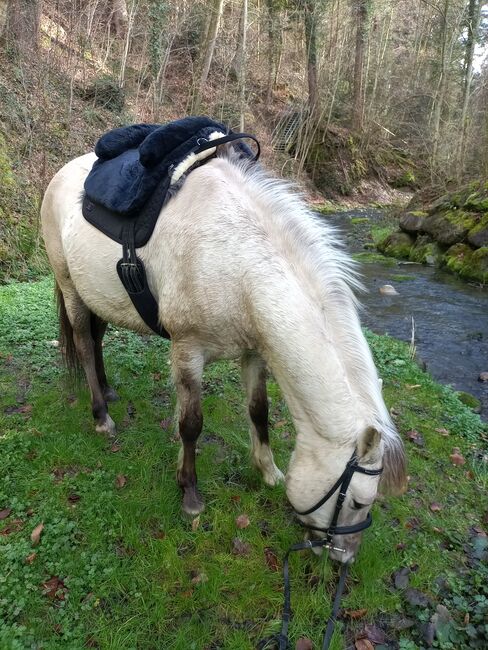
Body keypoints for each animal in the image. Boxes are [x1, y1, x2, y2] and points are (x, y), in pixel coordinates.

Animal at [40, 144, 406, 560]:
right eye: (358, 502)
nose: (344, 557)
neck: (239, 262)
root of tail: (61, 174)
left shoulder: (254, 353)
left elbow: (258, 411)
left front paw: (268, 471)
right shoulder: (187, 351)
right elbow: (191, 425)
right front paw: (190, 494)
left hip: (99, 295)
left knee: (98, 338)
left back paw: (107, 389)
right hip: (71, 287)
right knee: (85, 345)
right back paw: (101, 415)